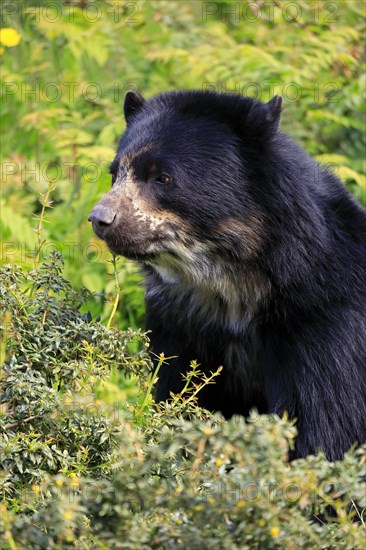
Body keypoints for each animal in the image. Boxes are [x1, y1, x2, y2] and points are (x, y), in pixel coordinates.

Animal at [88, 89, 366, 462]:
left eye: (163, 177)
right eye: (115, 173)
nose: (101, 219)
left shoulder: (326, 328)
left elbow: (327, 427)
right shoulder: (180, 324)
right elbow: (182, 396)